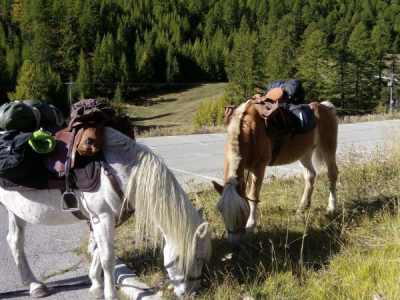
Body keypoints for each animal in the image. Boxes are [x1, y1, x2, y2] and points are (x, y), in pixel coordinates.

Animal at [0, 125, 212, 298]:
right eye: (198, 258)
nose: (193, 292)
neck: (119, 170)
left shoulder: (103, 219)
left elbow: (97, 251)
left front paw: (96, 284)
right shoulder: (102, 217)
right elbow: (108, 258)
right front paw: (111, 294)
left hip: (15, 211)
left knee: (14, 242)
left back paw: (35, 286)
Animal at [212, 99, 338, 243]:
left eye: (241, 211)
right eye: (221, 211)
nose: (234, 242)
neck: (249, 130)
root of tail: (325, 107)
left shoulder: (259, 167)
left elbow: (253, 196)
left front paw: (251, 226)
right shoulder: (246, 169)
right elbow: (248, 192)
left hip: (328, 149)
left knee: (332, 174)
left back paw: (332, 207)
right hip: (305, 153)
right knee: (310, 176)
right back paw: (302, 208)